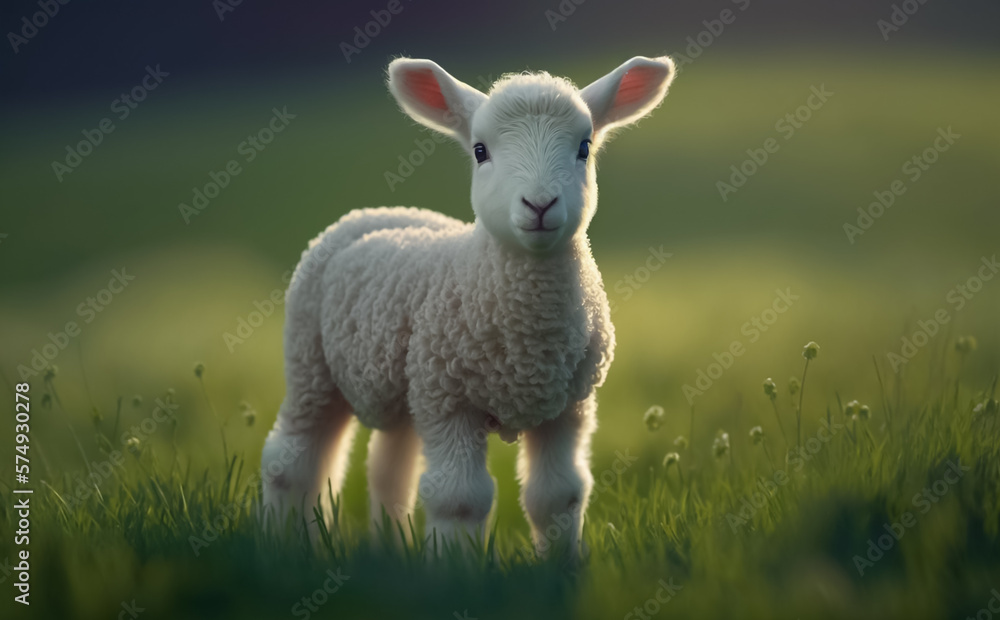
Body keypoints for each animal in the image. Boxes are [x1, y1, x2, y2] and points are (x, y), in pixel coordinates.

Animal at [261, 55, 676, 557]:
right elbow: (459, 499)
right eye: (480, 151)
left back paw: (390, 550)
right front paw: (455, 569)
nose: (540, 204)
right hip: (312, 363)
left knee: (388, 469)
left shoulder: (568, 406)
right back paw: (282, 542)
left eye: (584, 146)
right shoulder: (451, 400)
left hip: (408, 386)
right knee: (291, 460)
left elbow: (558, 494)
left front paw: (563, 565)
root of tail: (378, 212)